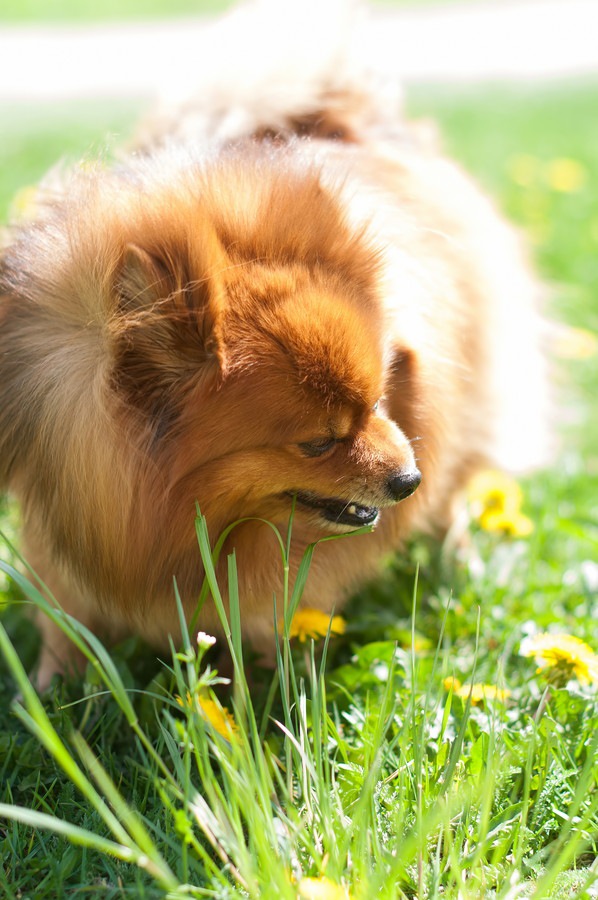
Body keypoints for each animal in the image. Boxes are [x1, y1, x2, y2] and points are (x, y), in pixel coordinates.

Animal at [0, 0, 548, 684]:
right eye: (317, 442)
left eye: (380, 400)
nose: (407, 480)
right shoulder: (65, 549)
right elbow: (65, 632)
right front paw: (50, 694)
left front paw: (276, 697)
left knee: (458, 495)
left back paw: (460, 559)